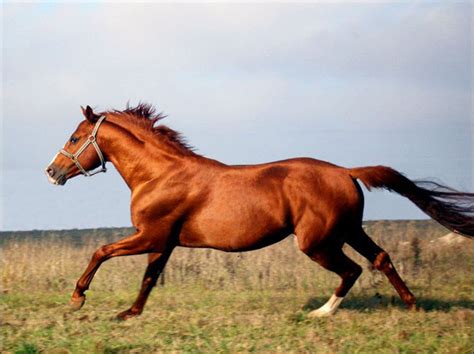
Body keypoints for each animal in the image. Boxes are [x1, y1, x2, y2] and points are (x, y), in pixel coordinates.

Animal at [45, 103, 474, 320]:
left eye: (75, 138)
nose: (52, 172)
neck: (161, 174)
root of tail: (347, 172)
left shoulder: (151, 235)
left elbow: (101, 251)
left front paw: (78, 298)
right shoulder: (163, 242)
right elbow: (150, 278)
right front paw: (130, 313)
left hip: (318, 242)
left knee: (352, 270)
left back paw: (321, 312)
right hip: (350, 230)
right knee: (381, 259)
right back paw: (412, 306)